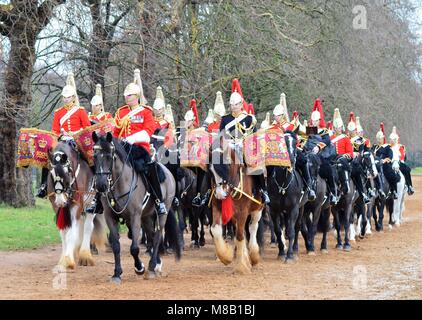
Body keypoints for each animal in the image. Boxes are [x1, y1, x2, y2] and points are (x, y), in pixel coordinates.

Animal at [91, 132, 181, 282]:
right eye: (95, 156)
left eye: (109, 156)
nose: (101, 185)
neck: (120, 184)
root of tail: (167, 171)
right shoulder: (110, 216)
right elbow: (116, 245)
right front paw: (117, 273)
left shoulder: (135, 216)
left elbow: (134, 248)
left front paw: (139, 267)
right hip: (146, 216)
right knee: (151, 236)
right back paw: (156, 264)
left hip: (161, 214)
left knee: (157, 237)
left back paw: (151, 267)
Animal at [210, 143, 266, 276]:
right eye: (211, 170)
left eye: (227, 165)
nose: (220, 194)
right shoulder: (217, 206)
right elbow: (215, 229)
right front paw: (225, 256)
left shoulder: (243, 211)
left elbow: (240, 236)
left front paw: (241, 267)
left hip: (258, 209)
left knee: (252, 227)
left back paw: (253, 255)